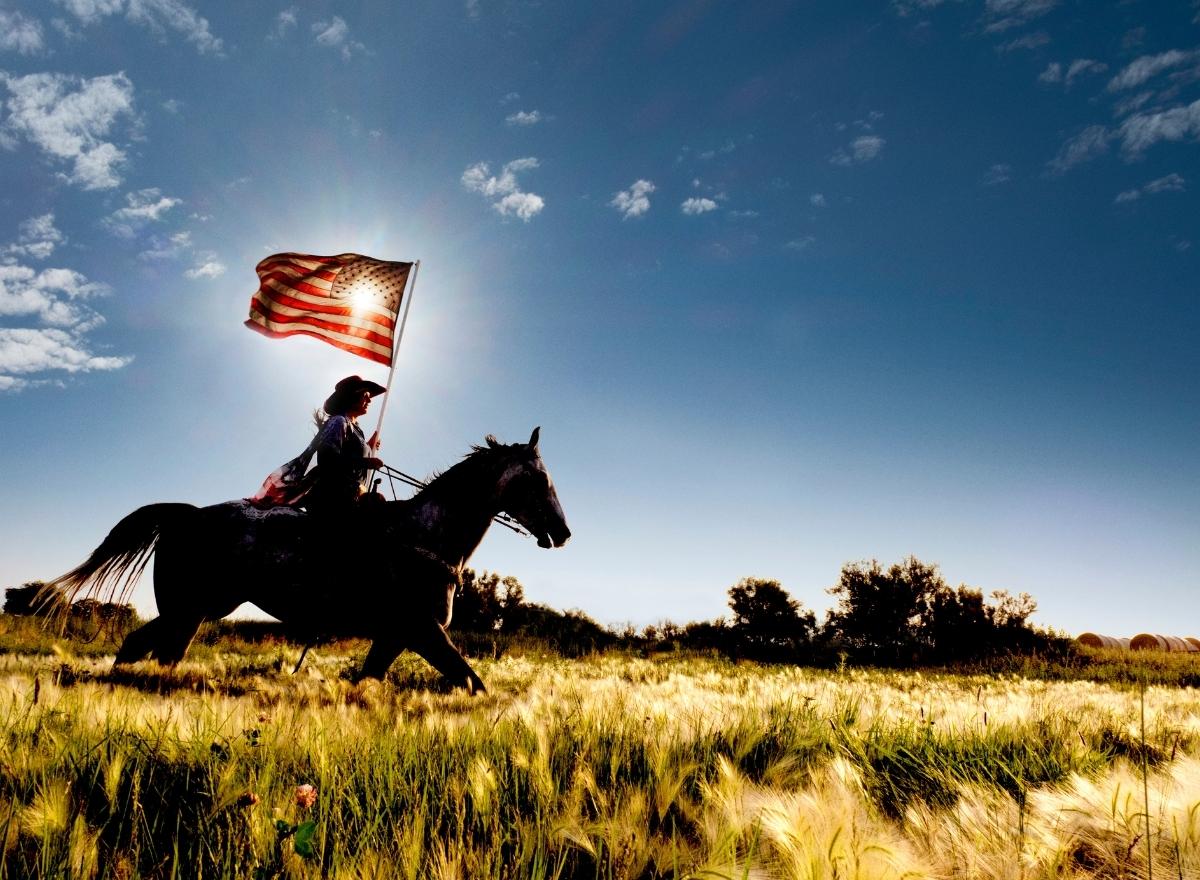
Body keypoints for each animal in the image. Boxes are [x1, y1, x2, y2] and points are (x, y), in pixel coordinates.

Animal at [44, 427, 568, 691]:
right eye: (540, 480)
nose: (562, 532)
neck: (425, 535)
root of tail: (186, 515)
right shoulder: (423, 632)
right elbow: (472, 682)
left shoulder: (396, 636)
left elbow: (368, 682)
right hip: (189, 609)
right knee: (146, 650)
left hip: (191, 613)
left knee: (151, 652)